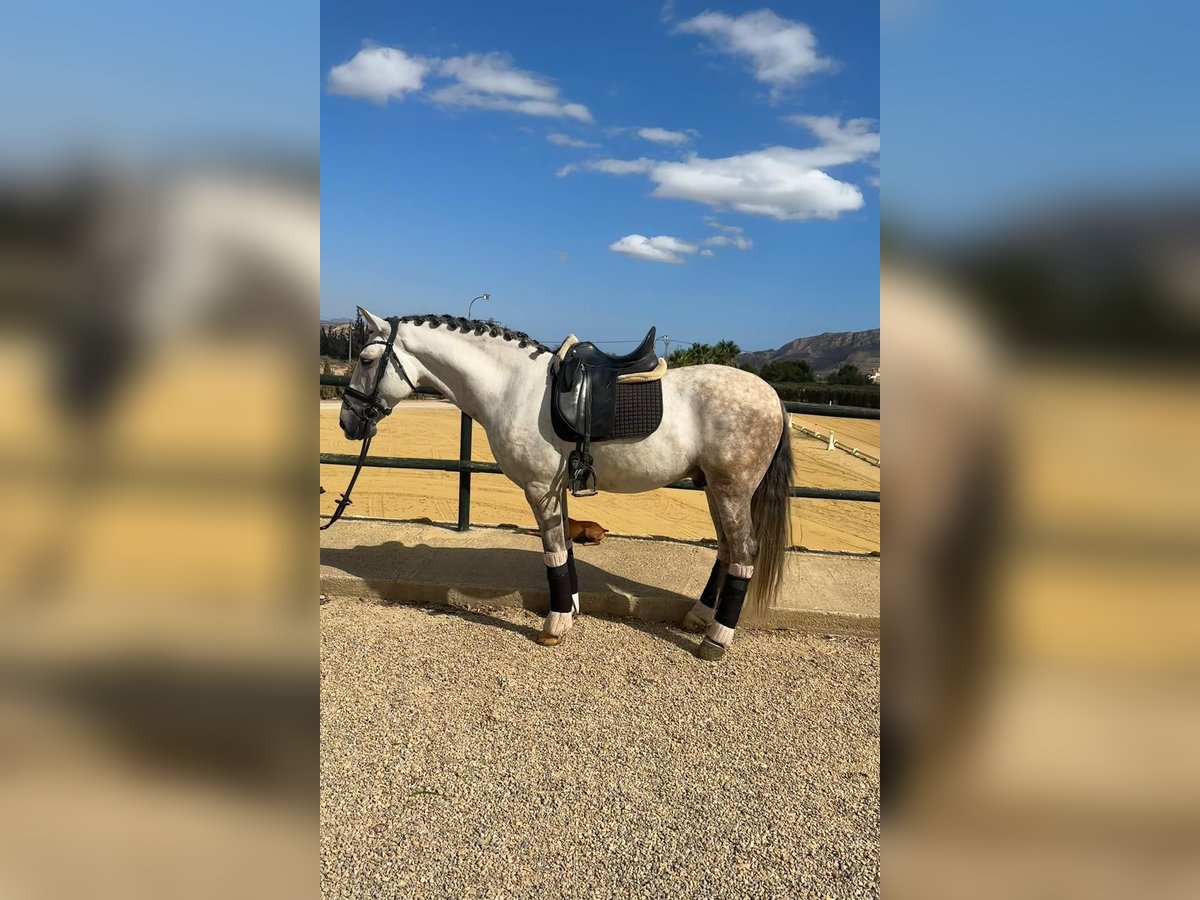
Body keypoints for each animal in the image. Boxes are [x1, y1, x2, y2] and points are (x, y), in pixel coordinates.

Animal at [338, 309, 792, 662]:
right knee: (726, 549)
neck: (512, 386)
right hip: (714, 489)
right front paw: (571, 609)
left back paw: (716, 639)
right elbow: (566, 551)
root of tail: (773, 396)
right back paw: (699, 616)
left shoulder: (539, 488)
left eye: (365, 359)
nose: (347, 422)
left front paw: (554, 624)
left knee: (744, 552)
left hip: (732, 490)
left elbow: (553, 553)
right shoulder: (557, 490)